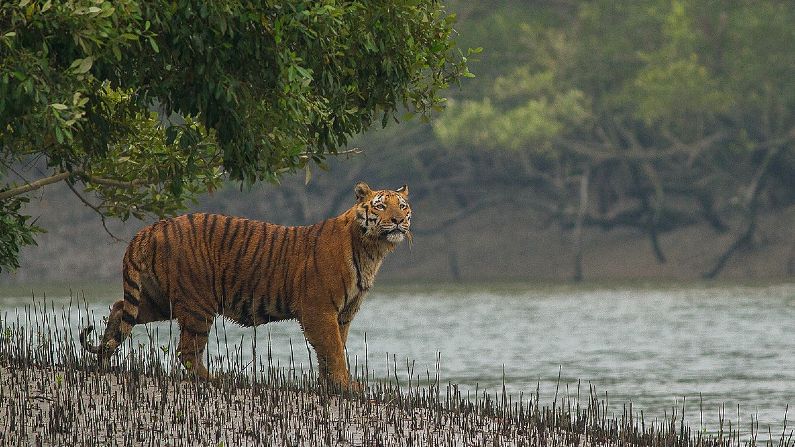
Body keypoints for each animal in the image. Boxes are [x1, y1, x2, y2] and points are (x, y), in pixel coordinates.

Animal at [81, 181, 414, 388]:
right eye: (380, 207)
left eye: (403, 206)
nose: (399, 221)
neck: (372, 249)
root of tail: (152, 227)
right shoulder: (319, 309)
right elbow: (333, 350)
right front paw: (346, 386)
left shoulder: (343, 314)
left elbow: (332, 350)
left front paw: (330, 385)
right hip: (198, 303)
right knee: (186, 351)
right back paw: (216, 379)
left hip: (159, 299)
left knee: (120, 308)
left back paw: (103, 357)